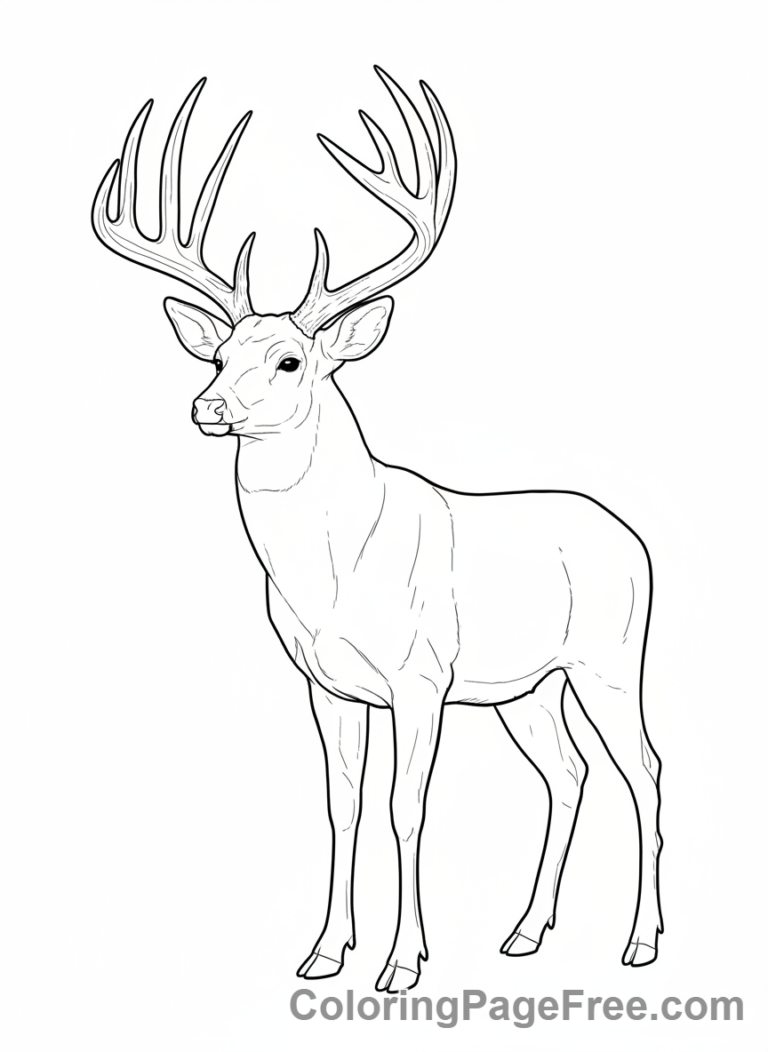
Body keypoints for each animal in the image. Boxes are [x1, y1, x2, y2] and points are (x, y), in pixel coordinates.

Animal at [92, 69, 663, 993]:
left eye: (290, 359)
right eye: (217, 356)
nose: (206, 406)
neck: (332, 573)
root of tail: (635, 540)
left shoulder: (420, 674)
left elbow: (407, 807)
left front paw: (403, 962)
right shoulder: (326, 683)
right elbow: (342, 805)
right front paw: (325, 952)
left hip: (611, 659)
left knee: (643, 771)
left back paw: (641, 941)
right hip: (527, 686)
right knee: (569, 773)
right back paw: (525, 932)